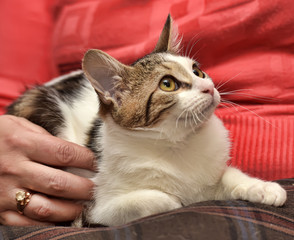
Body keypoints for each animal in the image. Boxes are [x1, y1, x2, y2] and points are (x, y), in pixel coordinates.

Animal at [7, 15, 288, 227]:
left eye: (197, 71)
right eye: (168, 84)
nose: (208, 87)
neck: (177, 143)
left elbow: (229, 177)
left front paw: (262, 188)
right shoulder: (98, 207)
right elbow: (153, 199)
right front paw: (175, 201)